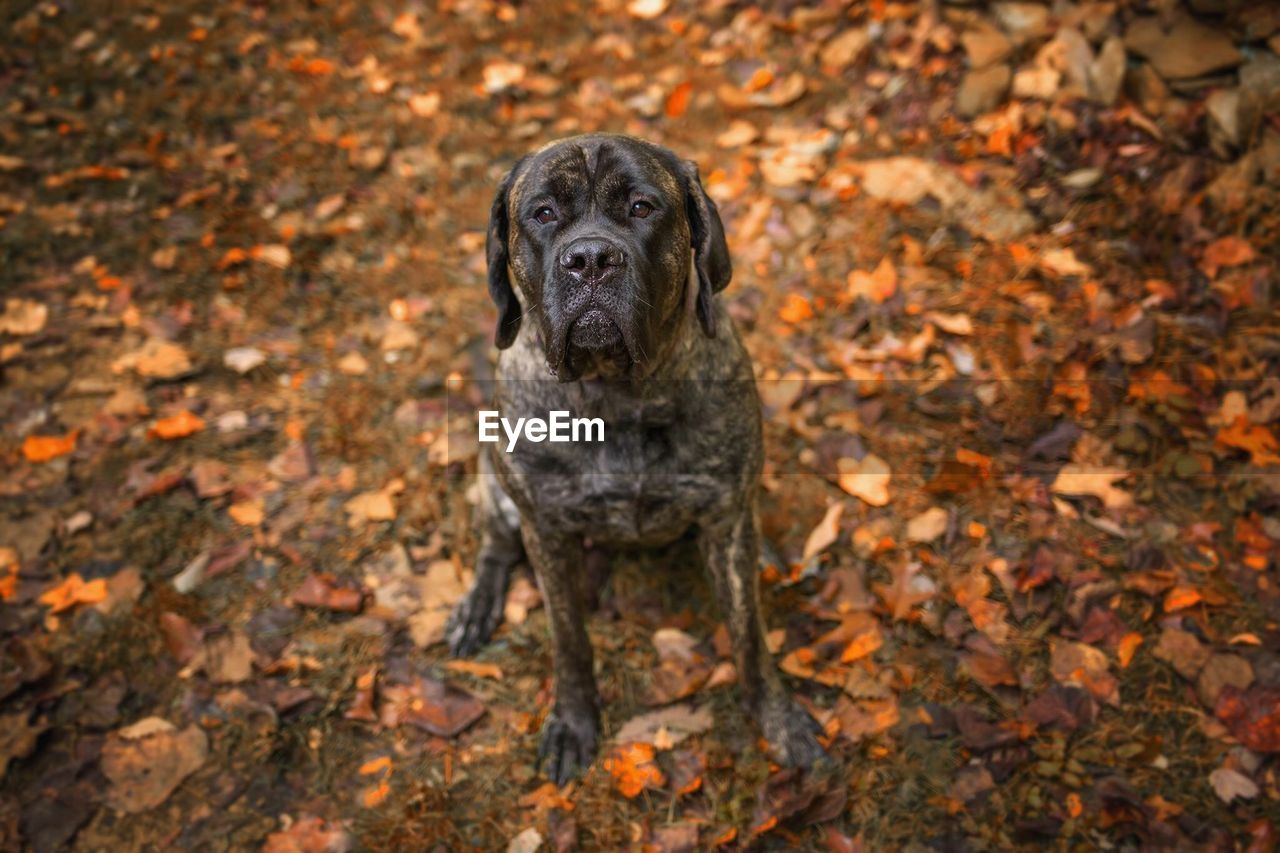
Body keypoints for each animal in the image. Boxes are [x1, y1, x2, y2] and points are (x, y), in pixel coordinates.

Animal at [450, 134, 824, 783]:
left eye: (643, 208)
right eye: (543, 214)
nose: (592, 259)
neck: (616, 395)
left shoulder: (724, 516)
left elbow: (749, 635)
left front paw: (778, 720)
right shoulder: (547, 530)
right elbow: (569, 639)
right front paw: (573, 722)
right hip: (495, 478)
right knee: (496, 543)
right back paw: (477, 605)